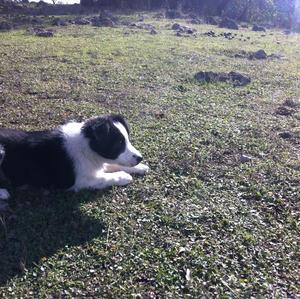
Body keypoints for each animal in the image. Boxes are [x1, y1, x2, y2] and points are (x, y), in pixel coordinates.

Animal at [0, 115, 149, 204]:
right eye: (119, 144)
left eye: (127, 140)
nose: (140, 158)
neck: (86, 145)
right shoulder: (78, 181)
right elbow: (104, 178)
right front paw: (124, 177)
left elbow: (114, 165)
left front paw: (140, 167)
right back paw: (3, 192)